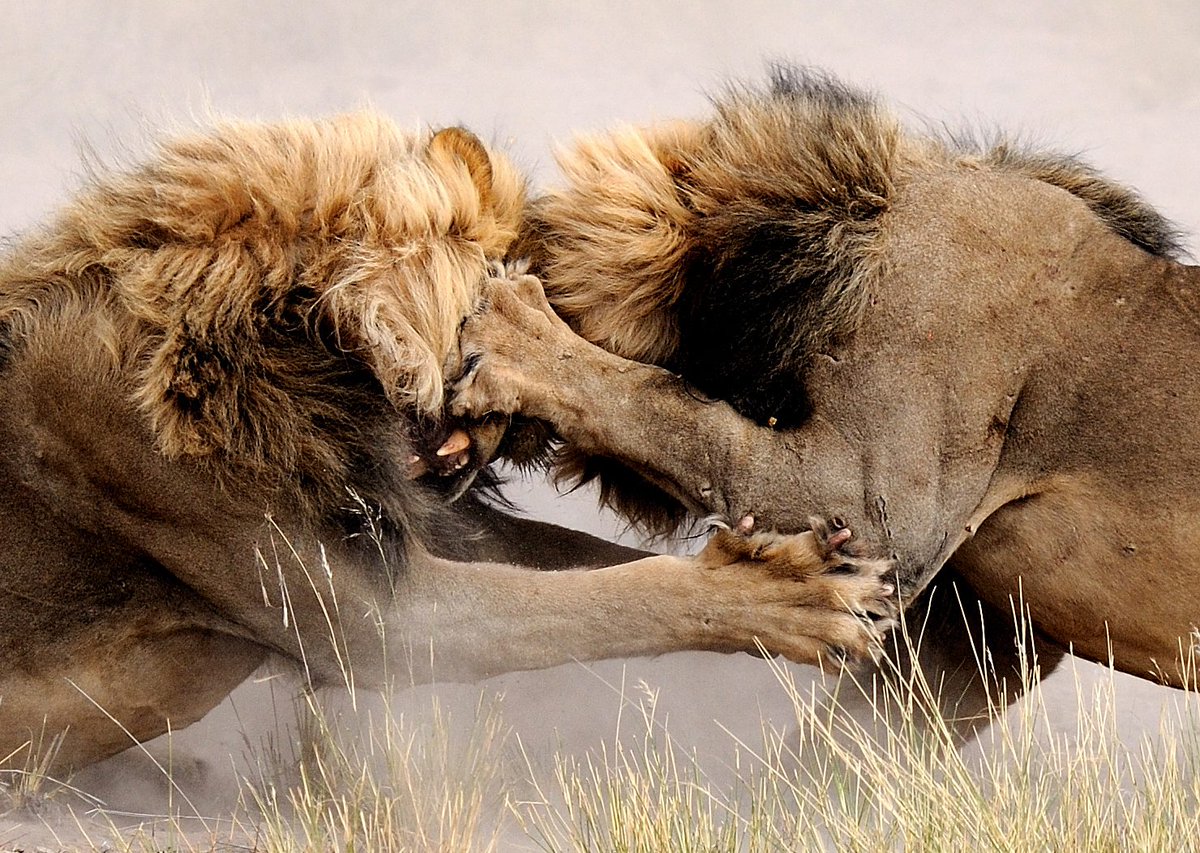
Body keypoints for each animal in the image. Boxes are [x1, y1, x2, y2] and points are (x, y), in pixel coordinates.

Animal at [0, 110, 899, 772]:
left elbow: (592, 563)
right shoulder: (372, 618)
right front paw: (794, 596)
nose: (521, 430)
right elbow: (604, 602)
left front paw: (797, 556)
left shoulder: (412, 521)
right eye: (506, 297)